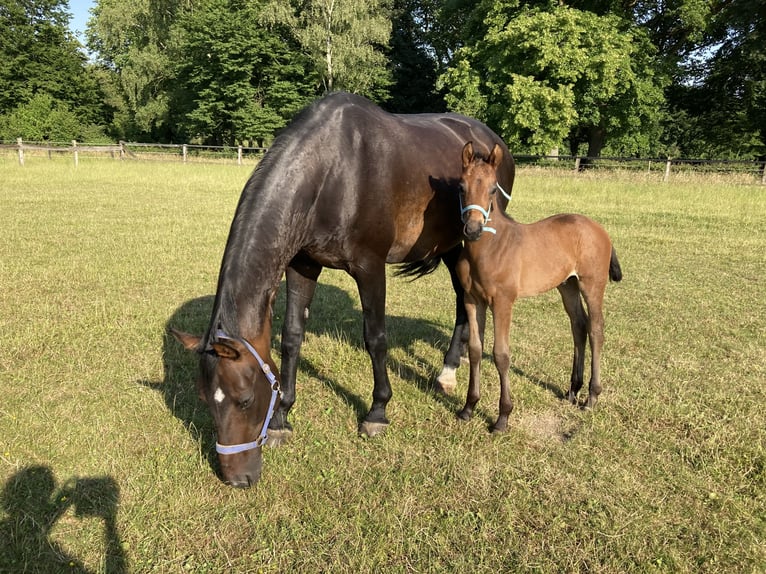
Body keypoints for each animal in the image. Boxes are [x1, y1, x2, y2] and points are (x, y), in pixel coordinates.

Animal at [169, 92, 516, 488]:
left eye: (243, 399)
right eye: (206, 401)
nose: (237, 479)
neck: (334, 172)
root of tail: (494, 141)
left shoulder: (370, 268)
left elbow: (375, 338)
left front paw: (377, 412)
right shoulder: (302, 264)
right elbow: (292, 337)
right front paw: (282, 418)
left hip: (465, 243)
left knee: (463, 302)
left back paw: (449, 372)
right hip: (450, 246)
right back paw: (448, 371)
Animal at [456, 142, 624, 434]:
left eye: (493, 189)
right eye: (461, 187)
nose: (473, 229)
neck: (489, 249)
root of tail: (599, 229)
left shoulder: (503, 302)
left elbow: (500, 354)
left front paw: (503, 417)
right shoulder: (472, 299)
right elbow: (476, 349)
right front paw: (469, 407)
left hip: (592, 283)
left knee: (596, 328)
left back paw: (591, 397)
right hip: (567, 285)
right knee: (579, 325)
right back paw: (573, 390)